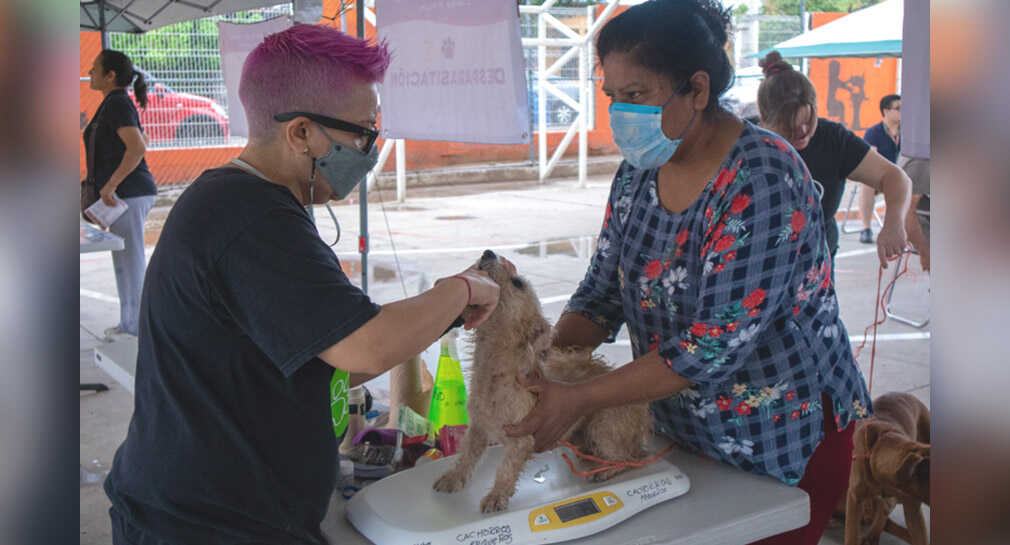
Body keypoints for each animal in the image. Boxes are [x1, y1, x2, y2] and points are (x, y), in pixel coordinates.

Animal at [430, 249, 650, 512]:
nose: (489, 252)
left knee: (630, 458)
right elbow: (466, 456)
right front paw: (453, 477)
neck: (493, 372)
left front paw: (496, 495)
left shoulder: (522, 438)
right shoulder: (477, 428)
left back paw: (605, 470)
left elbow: (506, 470)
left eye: (517, 283)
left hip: (603, 426)